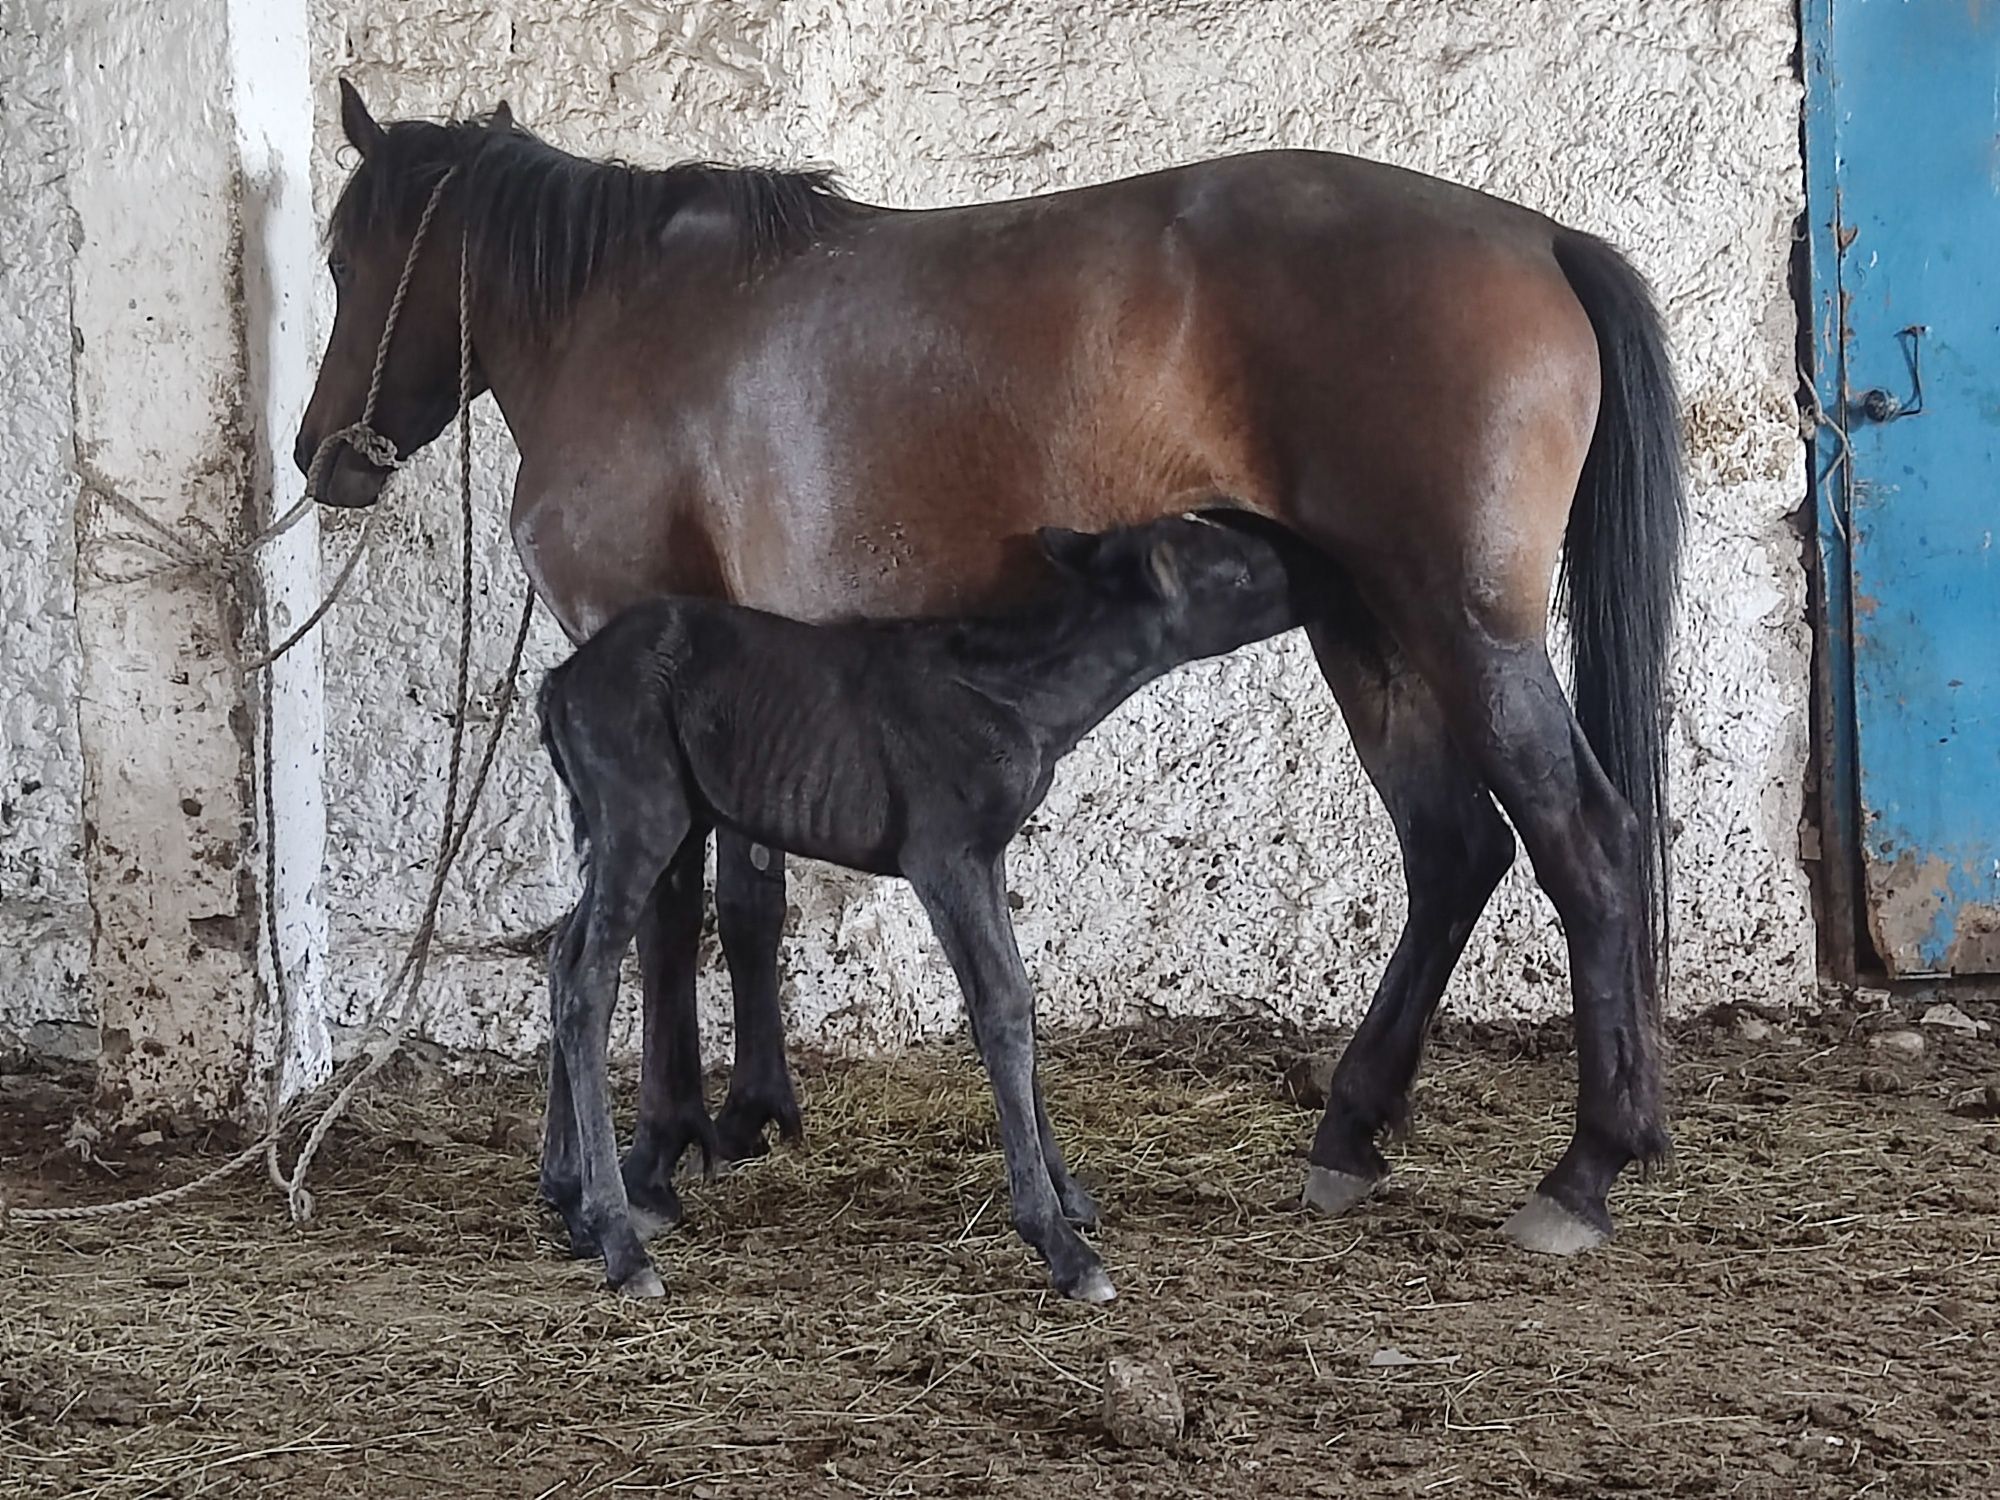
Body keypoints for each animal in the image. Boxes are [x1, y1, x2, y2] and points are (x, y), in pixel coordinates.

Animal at [540, 516, 1320, 1304]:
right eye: (1235, 571)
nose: (1320, 572)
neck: (1017, 694)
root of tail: (559, 684)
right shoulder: (944, 853)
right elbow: (1001, 1006)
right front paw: (1059, 1242)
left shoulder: (988, 853)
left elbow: (1015, 997)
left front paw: (1069, 1195)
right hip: (642, 813)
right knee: (590, 977)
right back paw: (620, 1242)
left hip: (616, 822)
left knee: (564, 958)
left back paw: (571, 1202)